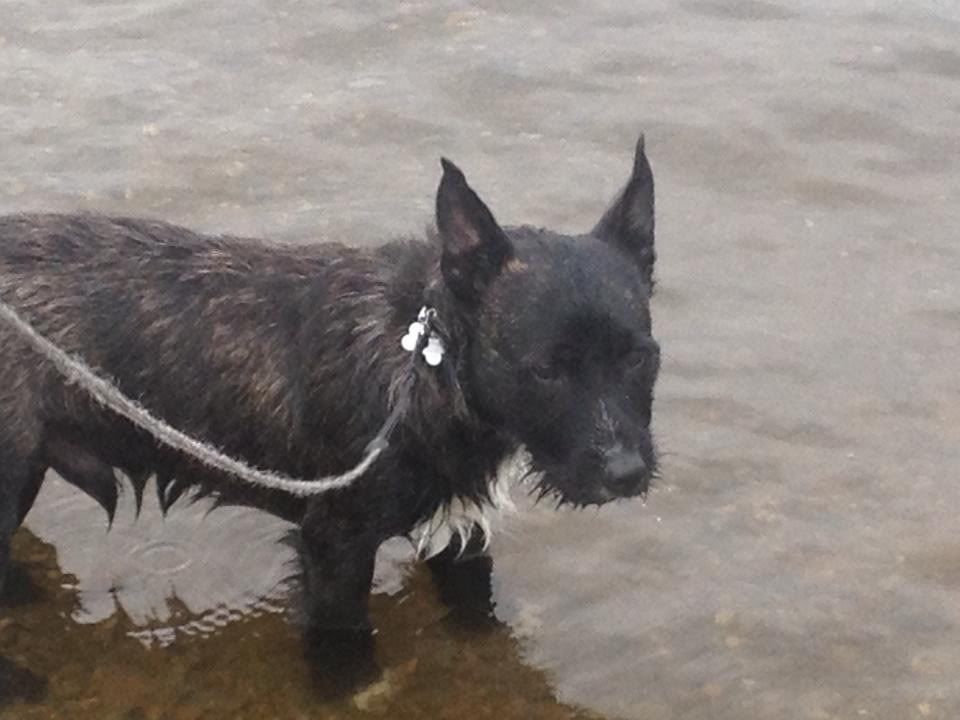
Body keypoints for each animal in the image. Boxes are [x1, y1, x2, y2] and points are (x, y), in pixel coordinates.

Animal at [0, 138, 660, 672]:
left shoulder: (459, 527)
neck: (425, 365)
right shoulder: (334, 548)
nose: (626, 472)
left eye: (639, 356)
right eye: (546, 370)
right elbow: (346, 652)